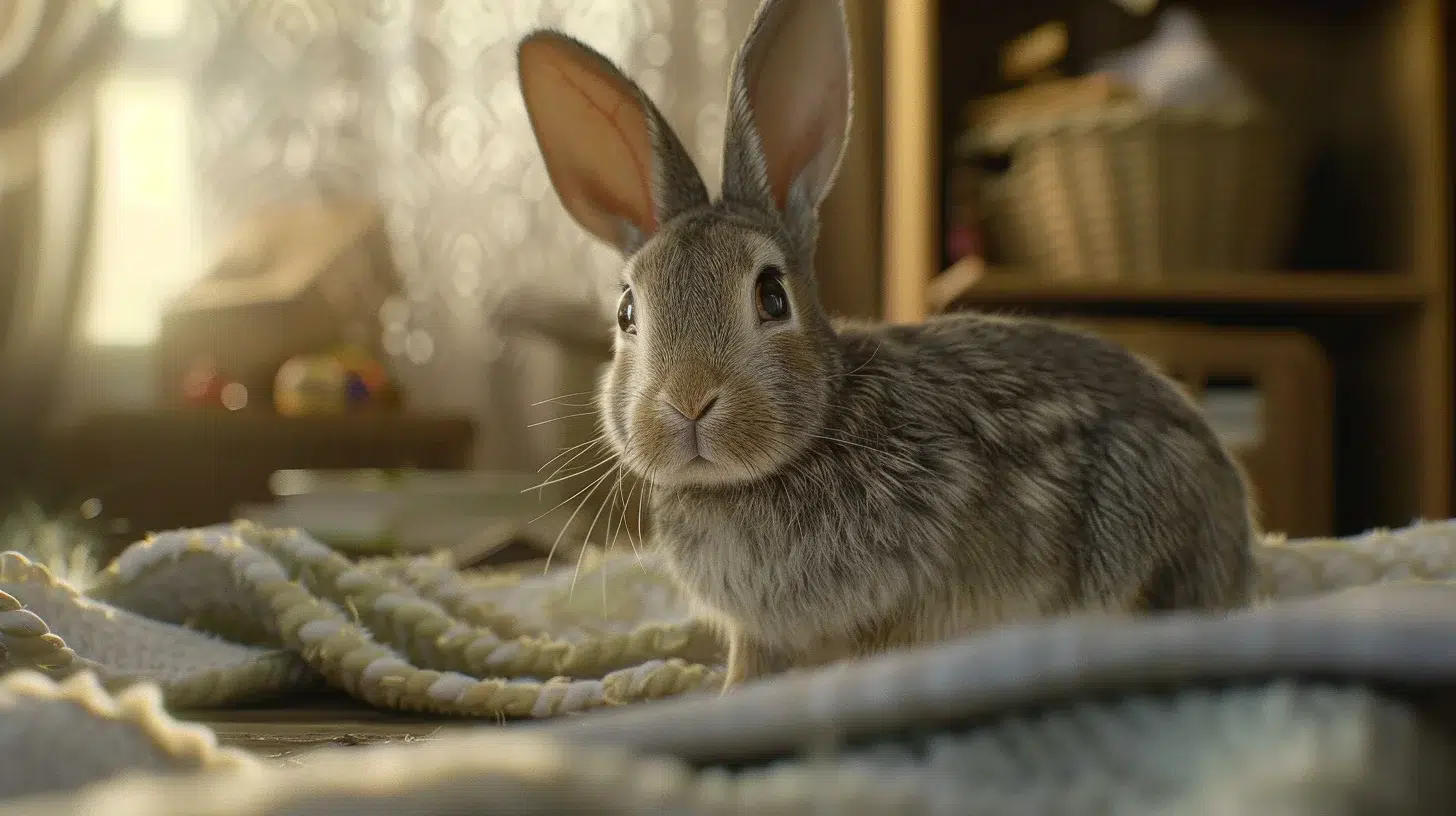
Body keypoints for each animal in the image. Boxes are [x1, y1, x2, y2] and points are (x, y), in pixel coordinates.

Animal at [517, 0, 1258, 691]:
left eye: (772, 296)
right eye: (627, 311)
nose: (688, 401)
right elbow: (748, 668)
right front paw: (722, 697)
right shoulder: (758, 634)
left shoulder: (904, 601)